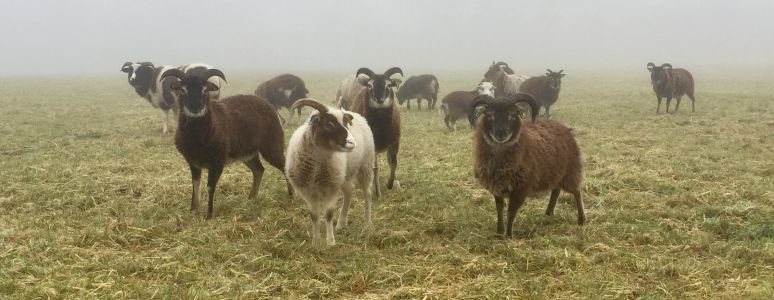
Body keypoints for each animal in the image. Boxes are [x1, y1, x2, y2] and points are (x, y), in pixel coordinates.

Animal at [472, 92, 588, 238]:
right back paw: (548, 214)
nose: (500, 134)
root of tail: (565, 128)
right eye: (489, 114)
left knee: (577, 192)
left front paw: (508, 236)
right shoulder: (497, 187)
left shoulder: (521, 189)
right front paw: (499, 232)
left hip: (570, 171)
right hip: (554, 172)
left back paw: (582, 219)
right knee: (555, 191)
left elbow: (511, 212)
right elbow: (499, 209)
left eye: (513, 114)